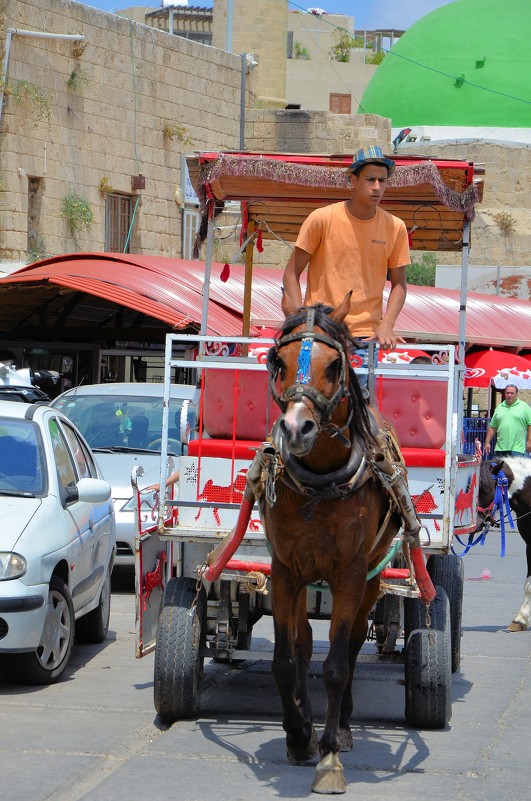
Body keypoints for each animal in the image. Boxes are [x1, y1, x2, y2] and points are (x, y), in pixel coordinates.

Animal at [256, 294, 412, 792]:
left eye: (334, 365)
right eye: (279, 361)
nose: (296, 428)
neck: (321, 483)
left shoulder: (349, 575)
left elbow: (338, 665)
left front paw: (327, 755)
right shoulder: (285, 570)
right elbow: (287, 660)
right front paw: (298, 735)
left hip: (372, 579)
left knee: (355, 644)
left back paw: (341, 726)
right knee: (304, 643)